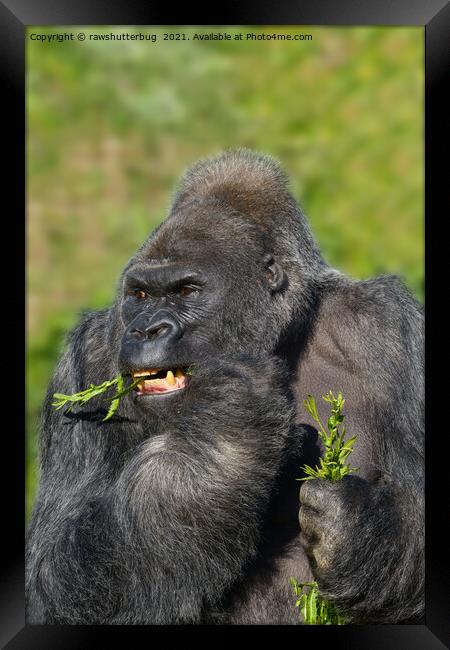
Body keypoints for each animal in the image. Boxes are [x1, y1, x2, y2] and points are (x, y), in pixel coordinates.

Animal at [25, 148, 426, 624]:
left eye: (186, 291)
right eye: (140, 295)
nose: (146, 331)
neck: (281, 338)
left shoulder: (393, 329)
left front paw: (358, 527)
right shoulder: (87, 359)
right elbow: (53, 575)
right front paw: (225, 435)